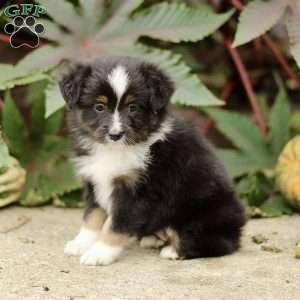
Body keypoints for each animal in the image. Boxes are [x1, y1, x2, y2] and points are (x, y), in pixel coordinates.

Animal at [59, 57, 246, 266]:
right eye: (99, 107)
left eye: (133, 107)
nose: (115, 135)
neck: (115, 150)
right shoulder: (94, 181)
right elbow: (92, 216)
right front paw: (81, 243)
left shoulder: (137, 191)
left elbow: (115, 224)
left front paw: (99, 252)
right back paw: (154, 239)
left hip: (201, 213)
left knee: (218, 244)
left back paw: (173, 250)